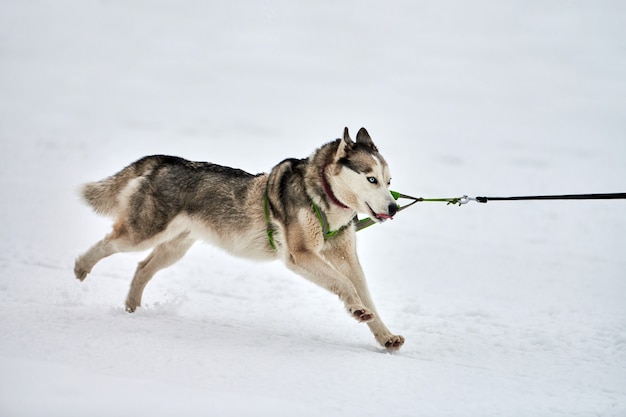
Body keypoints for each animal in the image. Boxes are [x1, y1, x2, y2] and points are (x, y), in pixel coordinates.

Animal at [74, 127, 404, 348]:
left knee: (142, 268)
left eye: (389, 181)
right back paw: (81, 267)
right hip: (141, 234)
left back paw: (132, 309)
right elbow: (345, 285)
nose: (394, 207)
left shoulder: (347, 258)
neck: (326, 198)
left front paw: (385, 336)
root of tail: (164, 161)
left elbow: (364, 293)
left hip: (174, 248)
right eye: (371, 179)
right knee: (108, 243)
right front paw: (357, 309)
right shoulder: (301, 255)